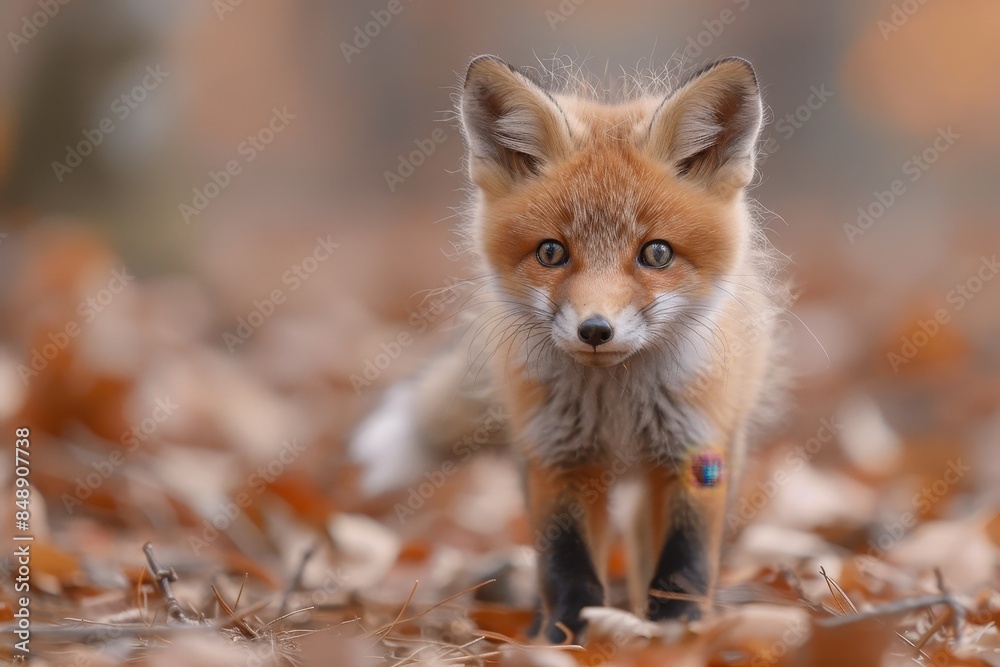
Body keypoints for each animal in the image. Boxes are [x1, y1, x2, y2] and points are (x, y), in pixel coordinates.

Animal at [350, 54, 790, 643]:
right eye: (551, 252)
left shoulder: (695, 449)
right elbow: (567, 562)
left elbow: (684, 560)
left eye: (656, 253)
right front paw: (568, 635)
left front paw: (678, 631)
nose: (595, 330)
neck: (618, 402)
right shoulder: (559, 456)